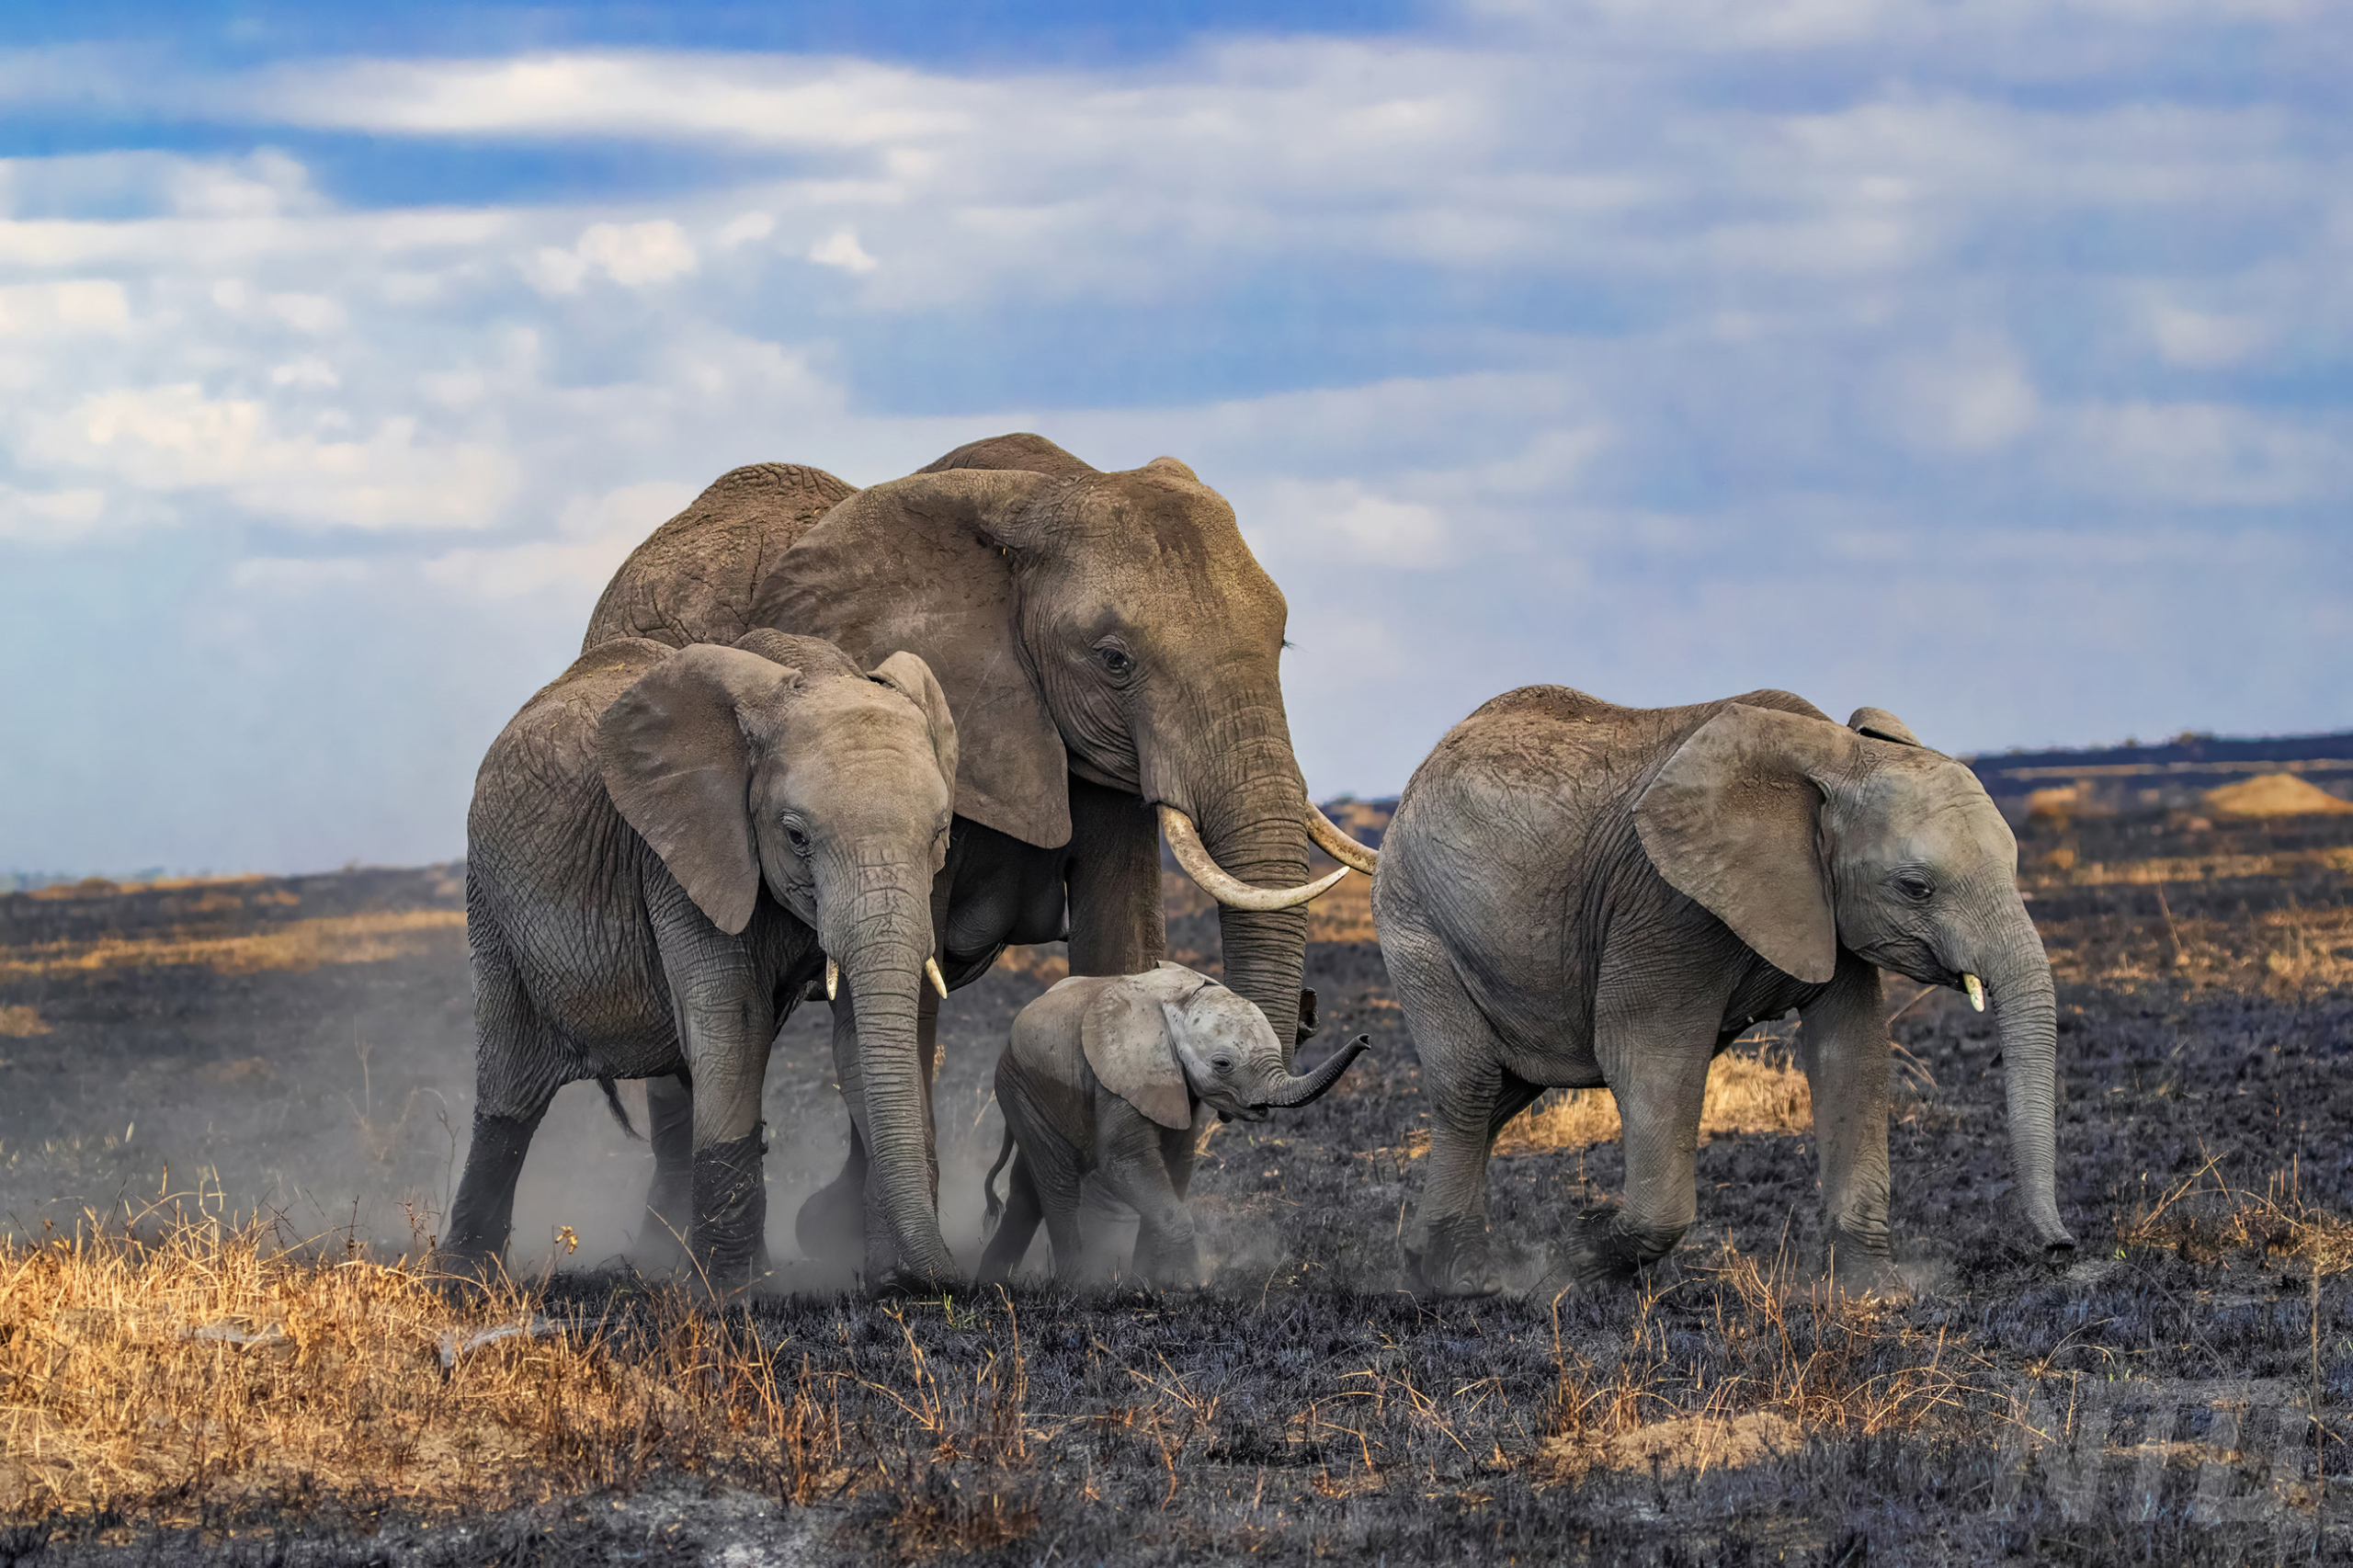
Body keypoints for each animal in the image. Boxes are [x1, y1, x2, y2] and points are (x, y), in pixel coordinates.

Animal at [439, 629, 962, 1290]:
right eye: (796, 836)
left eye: (940, 832)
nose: (946, 1279)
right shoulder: (678, 854)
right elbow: (736, 1021)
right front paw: (731, 1296)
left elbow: (853, 1040)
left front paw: (885, 1279)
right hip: (491, 907)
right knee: (510, 1091)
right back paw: (462, 1284)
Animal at [978, 962, 1370, 1286]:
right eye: (1223, 1064)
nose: (1365, 1039)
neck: (1177, 1002)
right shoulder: (1123, 1076)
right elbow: (1125, 1164)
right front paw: (1191, 1287)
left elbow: (1177, 1162)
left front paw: (1152, 1283)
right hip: (1018, 1087)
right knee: (1058, 1185)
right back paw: (1077, 1286)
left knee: (1027, 1189)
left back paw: (992, 1278)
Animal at [1372, 686, 2075, 1299]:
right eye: (1915, 887)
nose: (2062, 1249)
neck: (1832, 754)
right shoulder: (1665, 904)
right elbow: (1647, 1060)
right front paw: (1574, 1257)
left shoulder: (1825, 908)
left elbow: (1851, 1058)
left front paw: (1875, 1298)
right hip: (1413, 916)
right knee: (1471, 1082)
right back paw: (1464, 1283)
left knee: (1501, 1092)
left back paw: (1425, 1262)